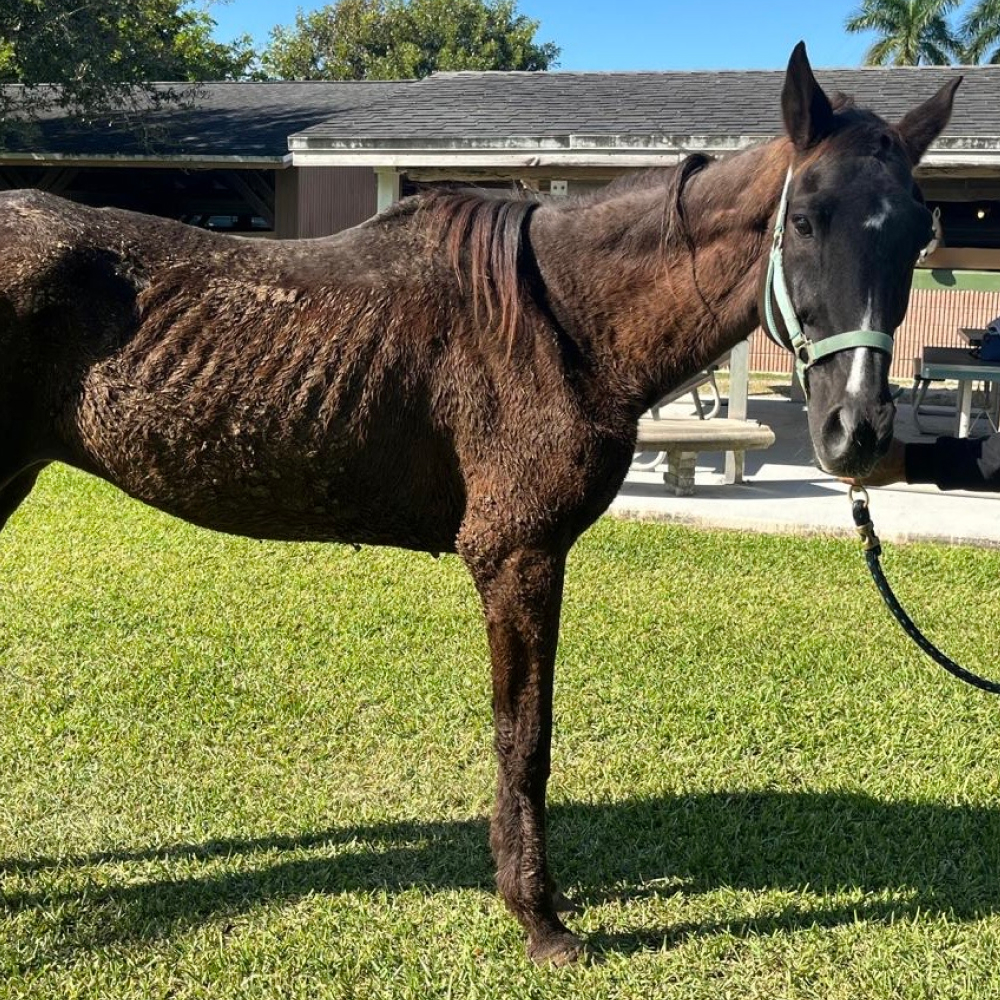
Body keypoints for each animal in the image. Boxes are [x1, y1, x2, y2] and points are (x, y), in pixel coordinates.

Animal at [0, 45, 960, 960]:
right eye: (803, 220)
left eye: (920, 230)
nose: (859, 431)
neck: (562, 322)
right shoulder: (518, 555)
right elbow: (523, 737)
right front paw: (538, 915)